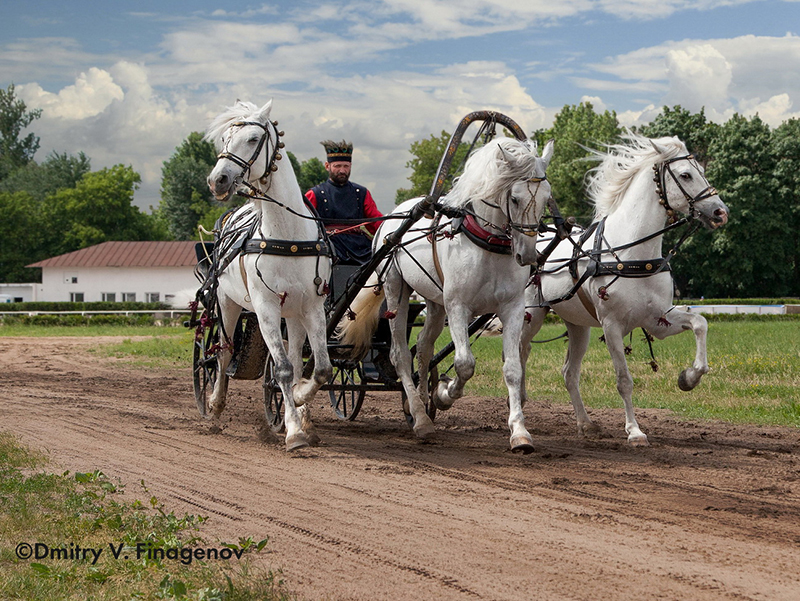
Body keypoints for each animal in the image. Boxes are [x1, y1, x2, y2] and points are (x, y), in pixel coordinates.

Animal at [206, 101, 334, 450]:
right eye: (224, 139)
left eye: (253, 138)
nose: (218, 180)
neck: (288, 236)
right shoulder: (265, 308)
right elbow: (283, 370)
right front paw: (293, 430)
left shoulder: (312, 306)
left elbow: (320, 369)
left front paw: (300, 401)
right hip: (227, 302)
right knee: (222, 352)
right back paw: (215, 407)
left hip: (293, 313)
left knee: (297, 356)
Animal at [340, 138, 552, 452]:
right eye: (514, 198)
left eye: (546, 199)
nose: (527, 256)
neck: (487, 246)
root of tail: (391, 222)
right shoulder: (458, 307)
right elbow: (465, 365)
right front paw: (444, 394)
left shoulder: (512, 308)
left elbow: (513, 369)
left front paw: (519, 431)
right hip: (397, 290)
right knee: (399, 354)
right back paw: (420, 417)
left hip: (435, 304)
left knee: (423, 346)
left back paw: (417, 402)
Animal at [520, 135, 728, 446]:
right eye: (685, 175)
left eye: (701, 170)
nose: (720, 212)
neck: (631, 254)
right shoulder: (611, 326)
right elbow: (624, 381)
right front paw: (635, 430)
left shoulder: (658, 319)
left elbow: (700, 323)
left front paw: (689, 377)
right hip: (529, 316)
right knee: (518, 356)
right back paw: (518, 405)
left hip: (578, 326)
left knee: (569, 373)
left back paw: (585, 423)